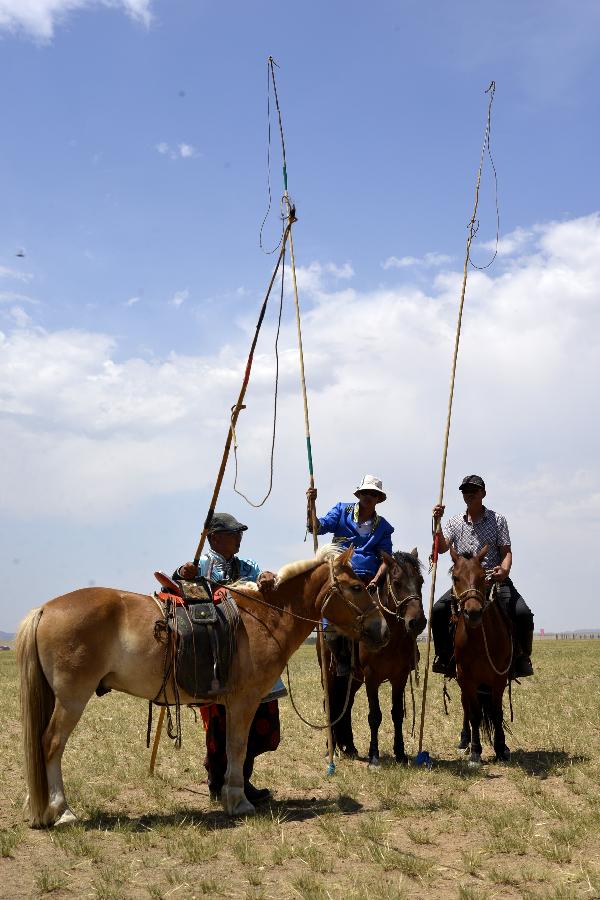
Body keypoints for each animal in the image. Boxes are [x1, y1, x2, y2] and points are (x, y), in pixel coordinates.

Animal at [16, 544, 390, 828]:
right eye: (357, 587)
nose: (382, 628)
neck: (264, 618)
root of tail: (45, 608)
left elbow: (227, 749)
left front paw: (231, 795)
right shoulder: (243, 702)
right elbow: (237, 748)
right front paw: (238, 801)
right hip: (72, 699)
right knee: (50, 744)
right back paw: (62, 811)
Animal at [318, 548, 426, 768]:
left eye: (420, 581)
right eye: (397, 582)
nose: (418, 622)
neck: (391, 638)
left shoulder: (400, 676)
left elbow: (397, 714)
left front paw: (400, 753)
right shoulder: (372, 677)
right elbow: (375, 716)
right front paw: (374, 756)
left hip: (353, 679)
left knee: (346, 706)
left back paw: (349, 747)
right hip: (331, 675)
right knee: (331, 705)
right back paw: (330, 749)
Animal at [450, 540, 510, 768]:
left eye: (483, 576)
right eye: (455, 577)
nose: (473, 613)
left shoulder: (499, 678)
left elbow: (496, 713)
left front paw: (501, 748)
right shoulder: (467, 678)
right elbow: (475, 714)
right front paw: (475, 752)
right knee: (466, 707)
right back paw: (464, 741)